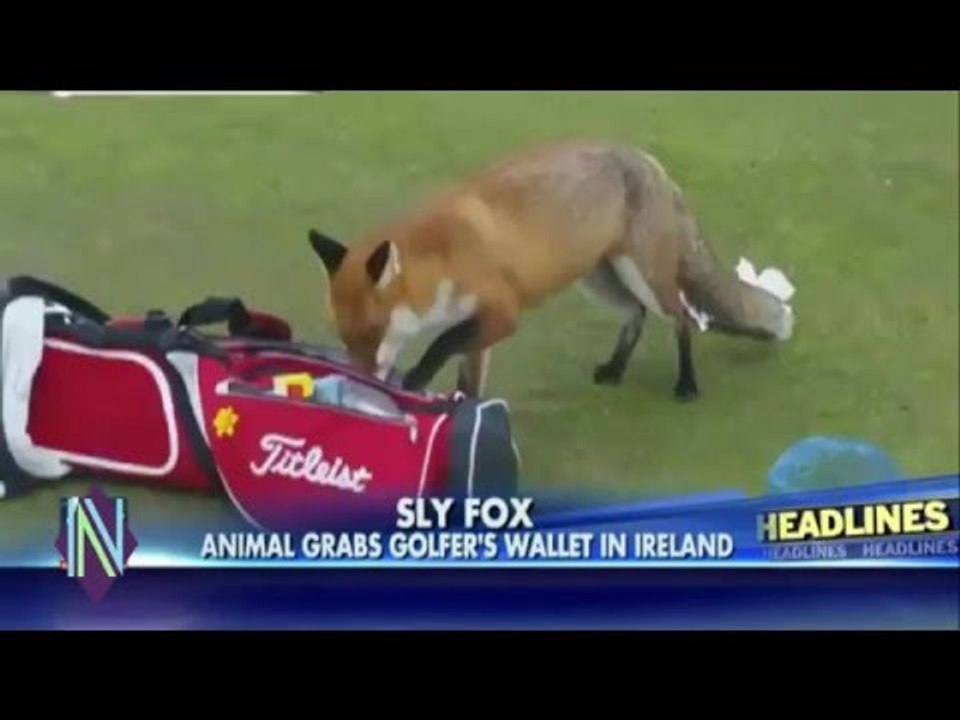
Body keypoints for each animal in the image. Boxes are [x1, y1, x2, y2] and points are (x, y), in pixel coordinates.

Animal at [308, 140, 796, 400]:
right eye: (345, 338)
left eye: (373, 332)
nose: (360, 380)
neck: (445, 256)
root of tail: (647, 159)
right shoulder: (480, 328)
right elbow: (468, 377)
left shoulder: (501, 314)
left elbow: (442, 343)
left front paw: (418, 378)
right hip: (599, 278)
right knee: (635, 317)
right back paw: (615, 370)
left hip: (644, 278)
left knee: (683, 320)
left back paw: (687, 384)